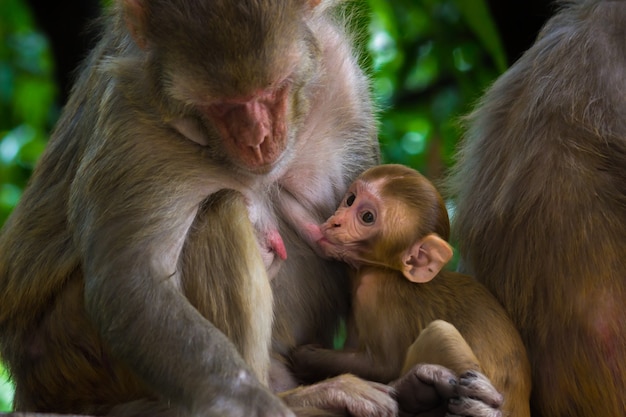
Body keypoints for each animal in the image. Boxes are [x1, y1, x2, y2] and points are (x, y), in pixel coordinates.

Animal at [292, 165, 528, 416]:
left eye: (367, 217)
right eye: (350, 199)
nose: (336, 222)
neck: (387, 269)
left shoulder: (374, 292)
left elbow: (381, 366)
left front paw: (306, 358)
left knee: (439, 334)